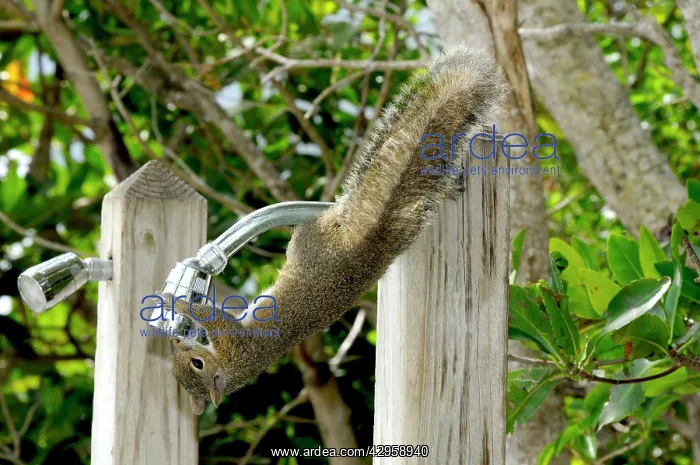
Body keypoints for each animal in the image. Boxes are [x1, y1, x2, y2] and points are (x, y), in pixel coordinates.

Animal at [165, 45, 508, 415]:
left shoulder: (234, 341)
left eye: (196, 365)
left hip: (308, 243)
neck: (232, 367)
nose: (174, 343)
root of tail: (367, 246)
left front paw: (182, 305)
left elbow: (214, 317)